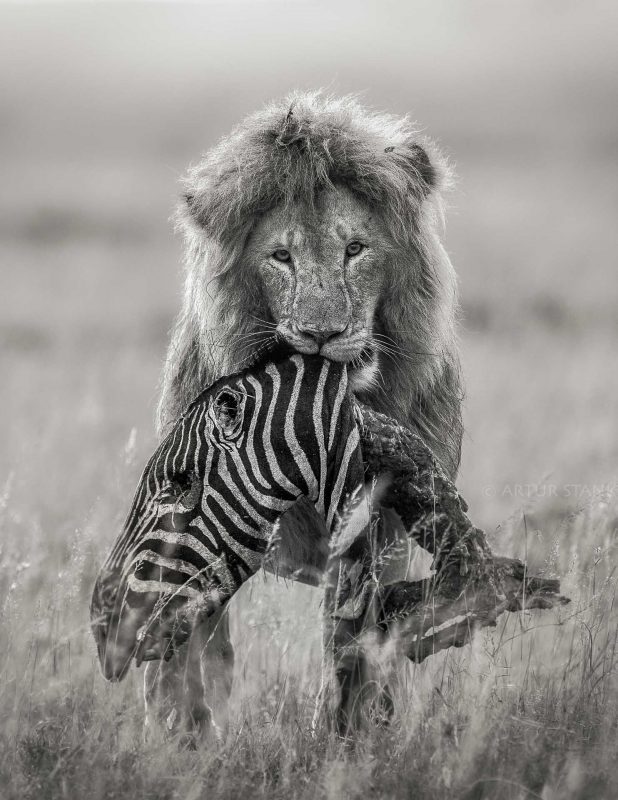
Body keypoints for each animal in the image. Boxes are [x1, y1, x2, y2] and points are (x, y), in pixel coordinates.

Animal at [144, 92, 462, 736]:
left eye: (355, 249)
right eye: (281, 257)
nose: (321, 334)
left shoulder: (375, 535)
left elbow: (347, 645)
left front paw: (344, 733)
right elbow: (196, 643)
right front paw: (182, 728)